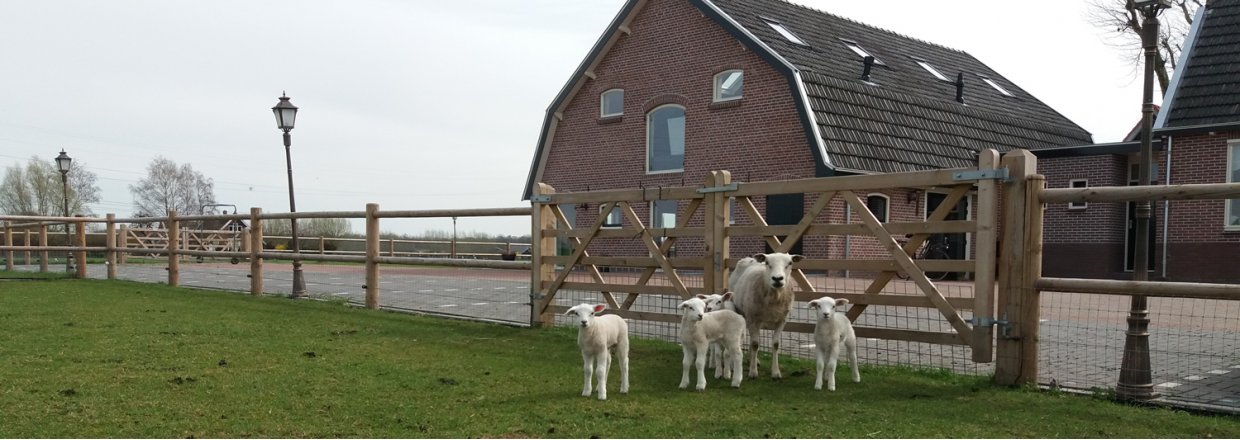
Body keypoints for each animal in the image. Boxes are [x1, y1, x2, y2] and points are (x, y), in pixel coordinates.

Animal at [724, 252, 803, 381]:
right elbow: (755, 344)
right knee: (751, 340)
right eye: (767, 263)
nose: (777, 279)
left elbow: (775, 345)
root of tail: (748, 258)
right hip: (743, 313)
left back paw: (753, 359)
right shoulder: (753, 319)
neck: (775, 297)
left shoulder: (782, 320)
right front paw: (753, 372)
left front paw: (776, 372)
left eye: (790, 263)